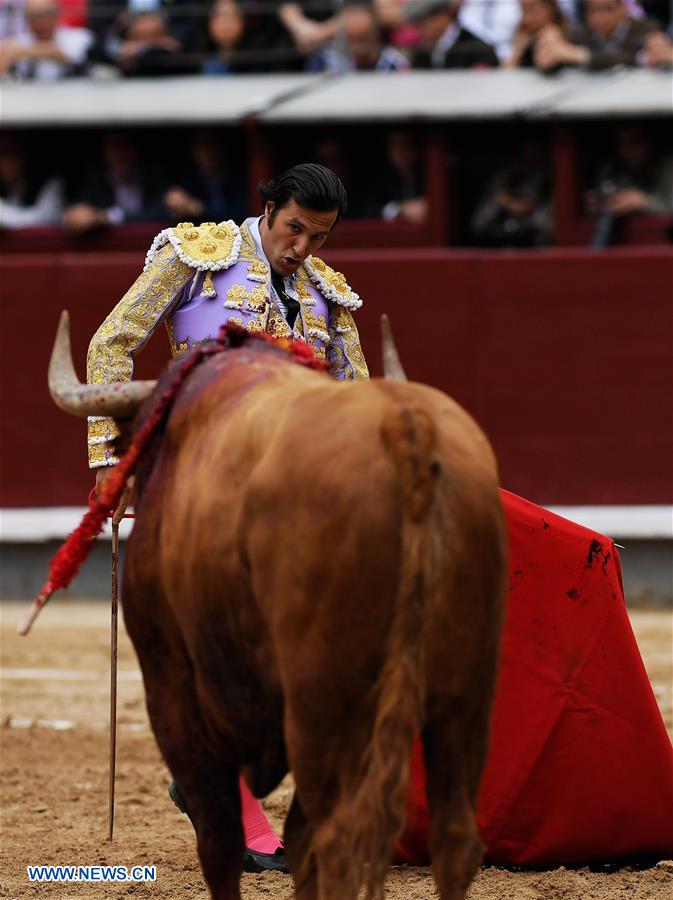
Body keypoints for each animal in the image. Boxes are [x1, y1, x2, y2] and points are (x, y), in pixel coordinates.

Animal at [48, 314, 504, 900]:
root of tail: (406, 428)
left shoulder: (172, 689)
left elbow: (218, 841)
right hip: (466, 692)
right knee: (452, 838)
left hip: (323, 701)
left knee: (338, 840)